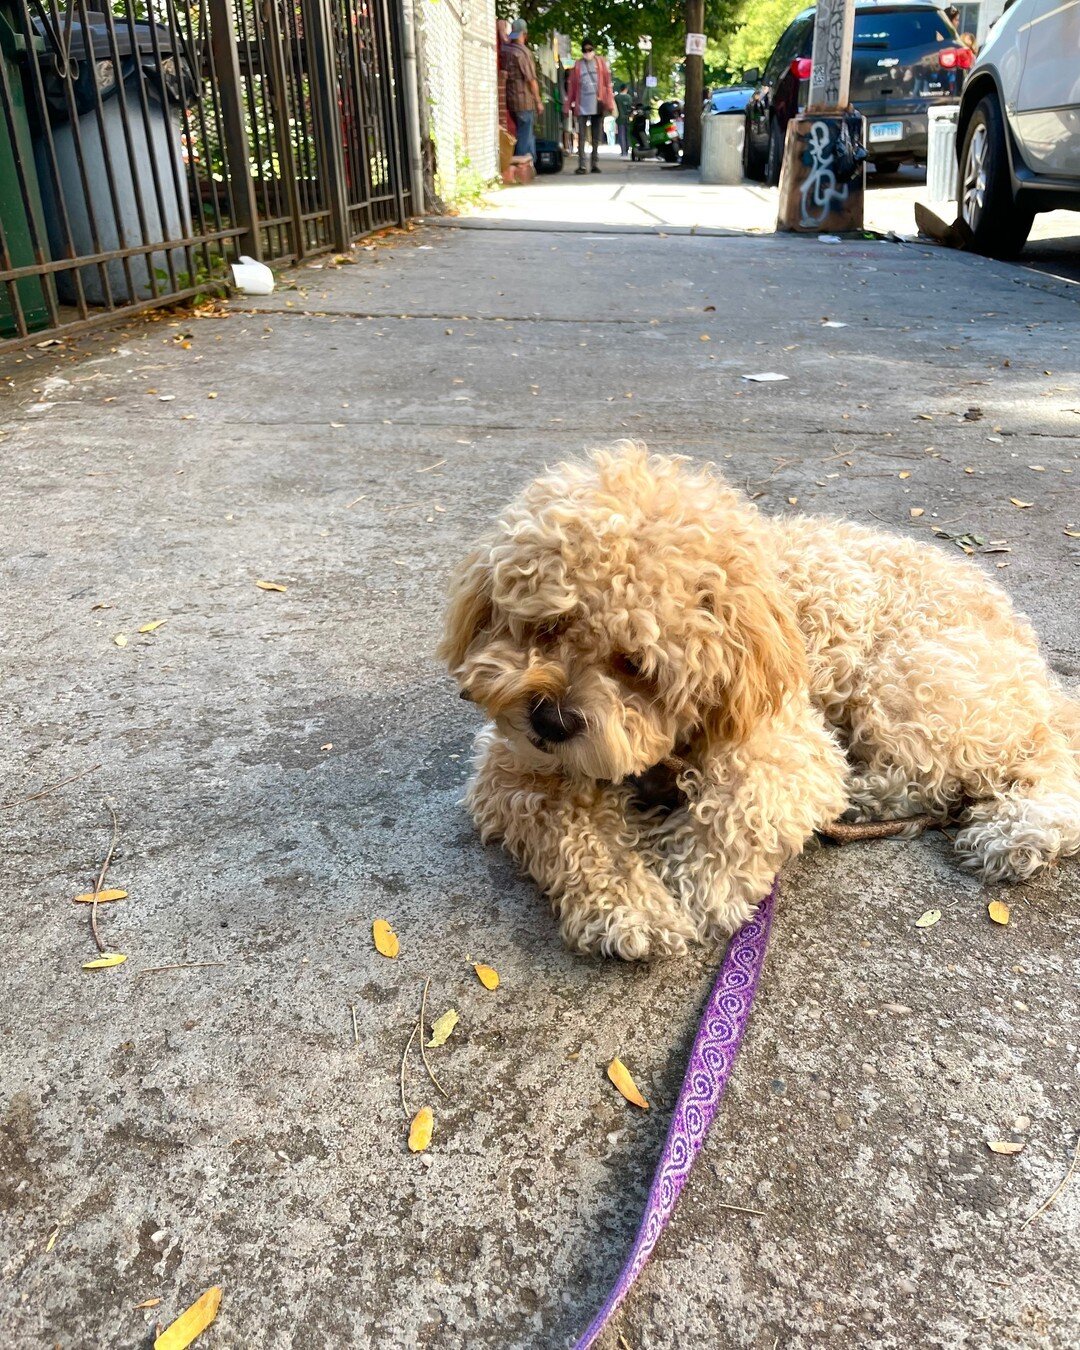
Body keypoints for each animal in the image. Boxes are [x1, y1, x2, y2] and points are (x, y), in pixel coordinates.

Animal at [437, 445, 1080, 961]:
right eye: (548, 626)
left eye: (636, 665)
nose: (551, 720)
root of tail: (1037, 666)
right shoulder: (518, 771)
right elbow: (574, 833)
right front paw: (630, 907)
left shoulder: (782, 743)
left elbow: (741, 807)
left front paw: (692, 890)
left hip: (912, 684)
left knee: (983, 768)